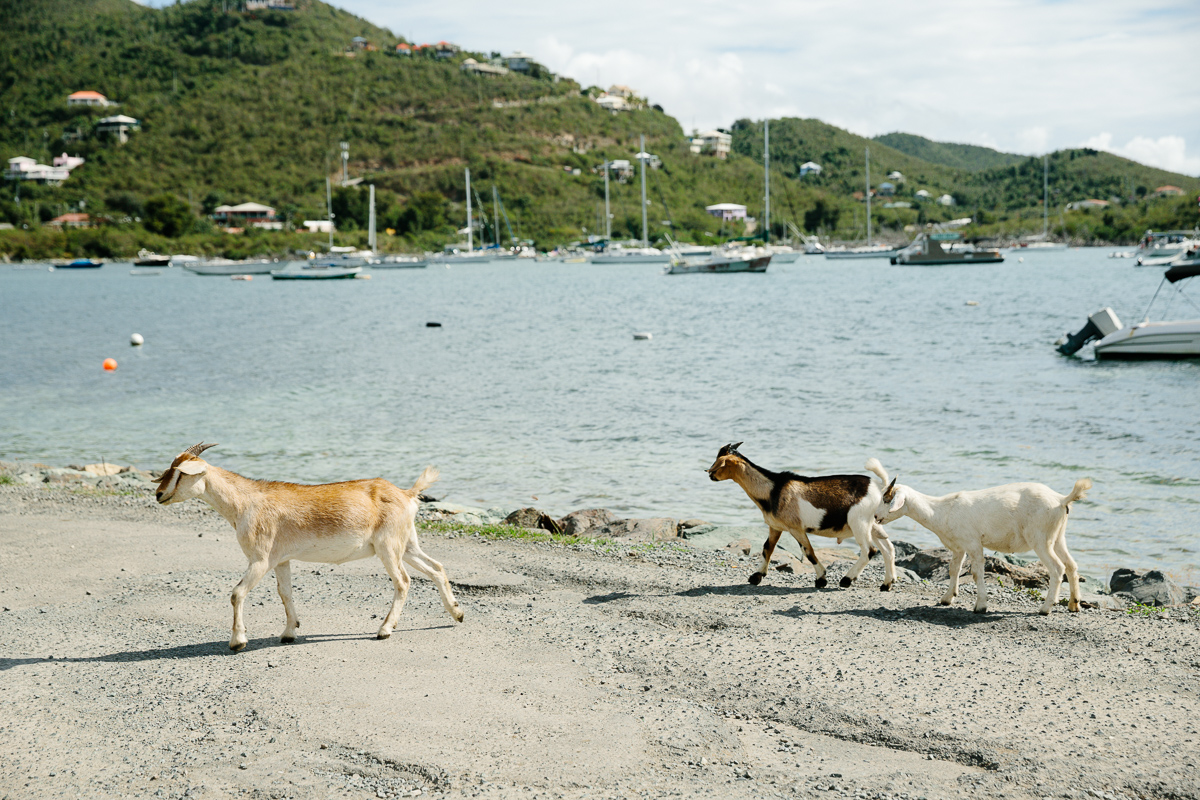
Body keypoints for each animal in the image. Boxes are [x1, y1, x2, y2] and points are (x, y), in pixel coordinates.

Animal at [156, 443, 463, 652]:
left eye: (180, 473)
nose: (159, 494)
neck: (245, 502)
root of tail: (407, 494)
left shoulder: (260, 559)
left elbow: (237, 593)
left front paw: (237, 642)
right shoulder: (280, 560)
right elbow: (285, 593)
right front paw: (289, 633)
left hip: (388, 546)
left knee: (403, 581)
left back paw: (385, 629)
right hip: (406, 544)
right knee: (436, 568)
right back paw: (457, 614)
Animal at [705, 448, 897, 592]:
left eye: (719, 464)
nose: (709, 475)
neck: (773, 490)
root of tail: (880, 488)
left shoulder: (796, 528)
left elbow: (808, 551)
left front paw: (821, 579)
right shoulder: (776, 527)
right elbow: (767, 548)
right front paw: (756, 576)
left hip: (859, 522)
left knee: (869, 551)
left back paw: (847, 579)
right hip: (874, 525)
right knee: (887, 549)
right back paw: (886, 584)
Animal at [868, 460, 1094, 618]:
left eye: (887, 499)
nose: (876, 517)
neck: (942, 510)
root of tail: (1061, 500)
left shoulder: (973, 543)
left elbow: (977, 573)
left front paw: (981, 606)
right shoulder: (958, 547)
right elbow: (954, 569)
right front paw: (947, 598)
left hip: (1040, 538)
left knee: (1057, 568)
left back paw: (1045, 608)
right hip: (1057, 537)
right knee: (1071, 565)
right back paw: (1074, 605)